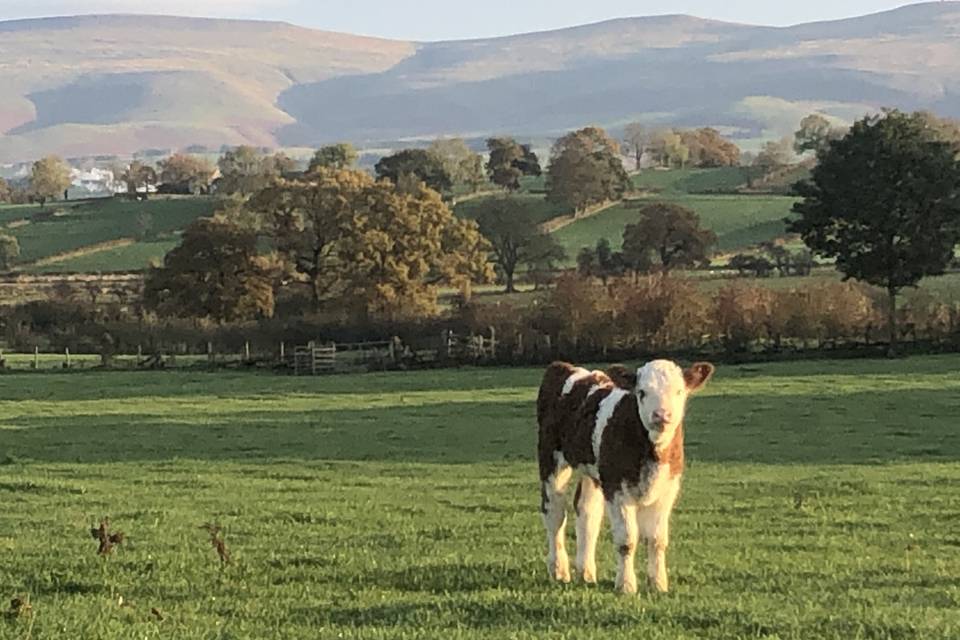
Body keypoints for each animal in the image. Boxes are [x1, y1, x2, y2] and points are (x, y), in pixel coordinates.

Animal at [536, 360, 716, 596]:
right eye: (642, 392)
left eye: (679, 391)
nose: (661, 415)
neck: (654, 453)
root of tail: (566, 366)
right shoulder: (617, 488)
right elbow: (627, 540)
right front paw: (626, 585)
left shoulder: (667, 489)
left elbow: (657, 539)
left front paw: (658, 584)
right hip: (551, 458)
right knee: (555, 513)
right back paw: (559, 570)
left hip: (594, 473)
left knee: (587, 513)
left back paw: (586, 573)